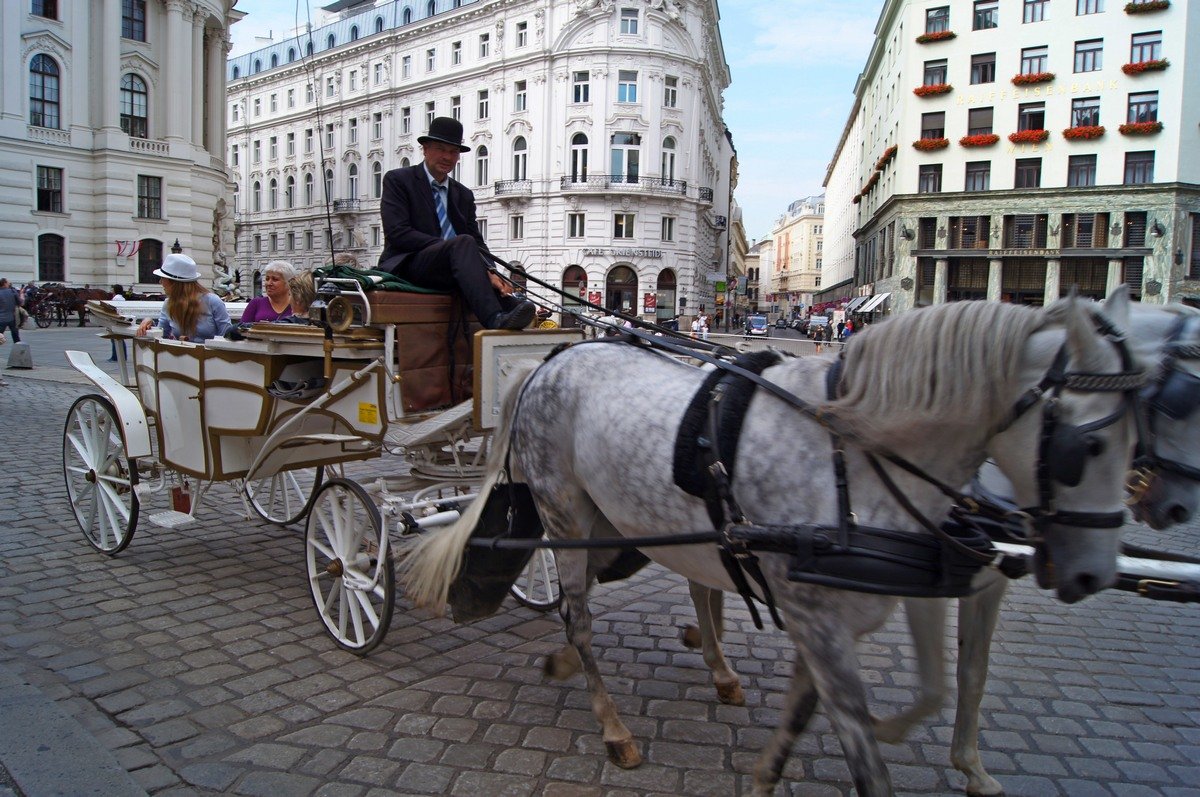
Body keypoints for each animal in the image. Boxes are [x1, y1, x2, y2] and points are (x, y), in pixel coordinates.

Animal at [400, 295, 1142, 792]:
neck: (852, 457)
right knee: (578, 612)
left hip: (622, 518)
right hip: (565, 512)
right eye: (1087, 446)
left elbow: (811, 711)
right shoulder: (821, 621)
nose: (1091, 575)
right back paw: (612, 723)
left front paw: (764, 773)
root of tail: (554, 358)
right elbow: (865, 751)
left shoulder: (835, 615)